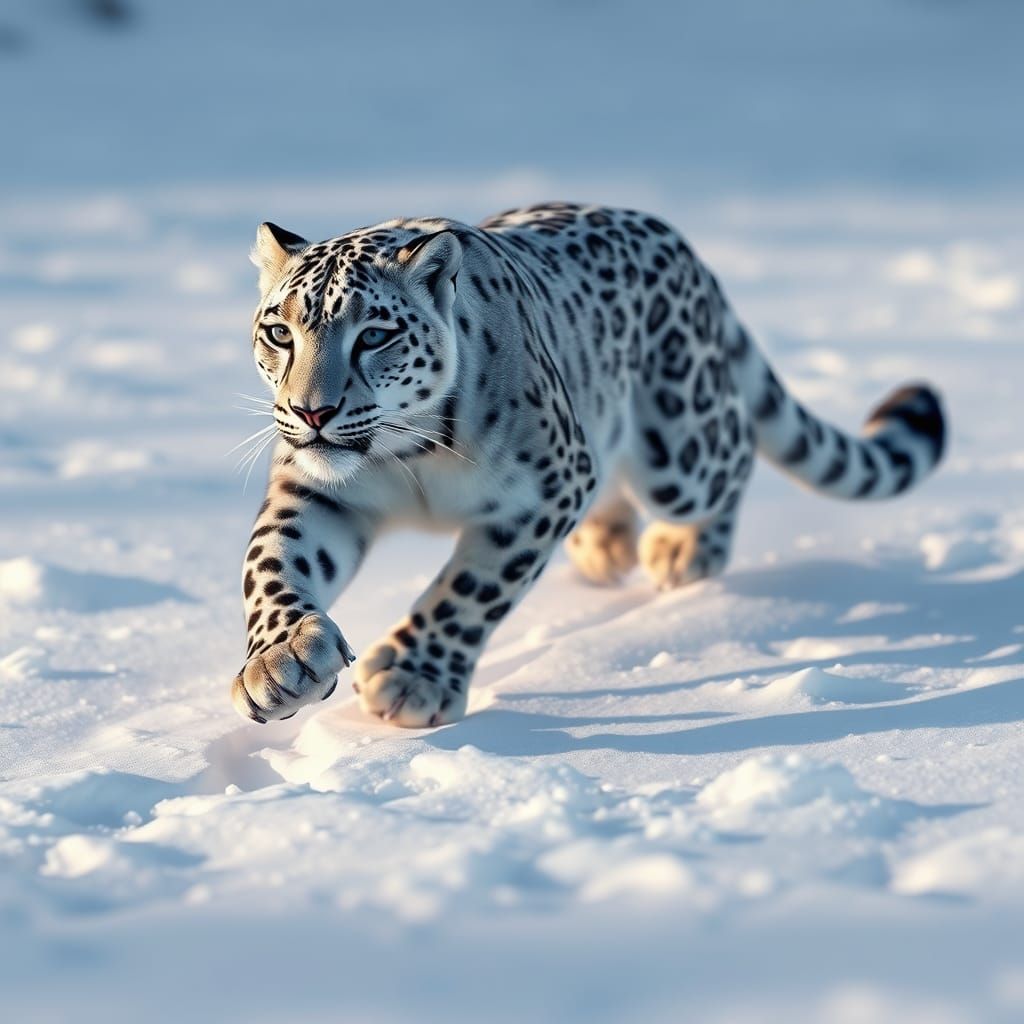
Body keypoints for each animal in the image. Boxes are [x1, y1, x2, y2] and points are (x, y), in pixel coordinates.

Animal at [231, 202, 946, 728]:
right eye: (280, 332)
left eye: (375, 335)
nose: (312, 410)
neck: (408, 456)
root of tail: (684, 247)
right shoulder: (315, 490)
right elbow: (271, 563)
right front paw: (282, 664)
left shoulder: (544, 489)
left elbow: (470, 591)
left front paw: (412, 679)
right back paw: (606, 544)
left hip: (682, 453)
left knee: (737, 448)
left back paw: (684, 550)